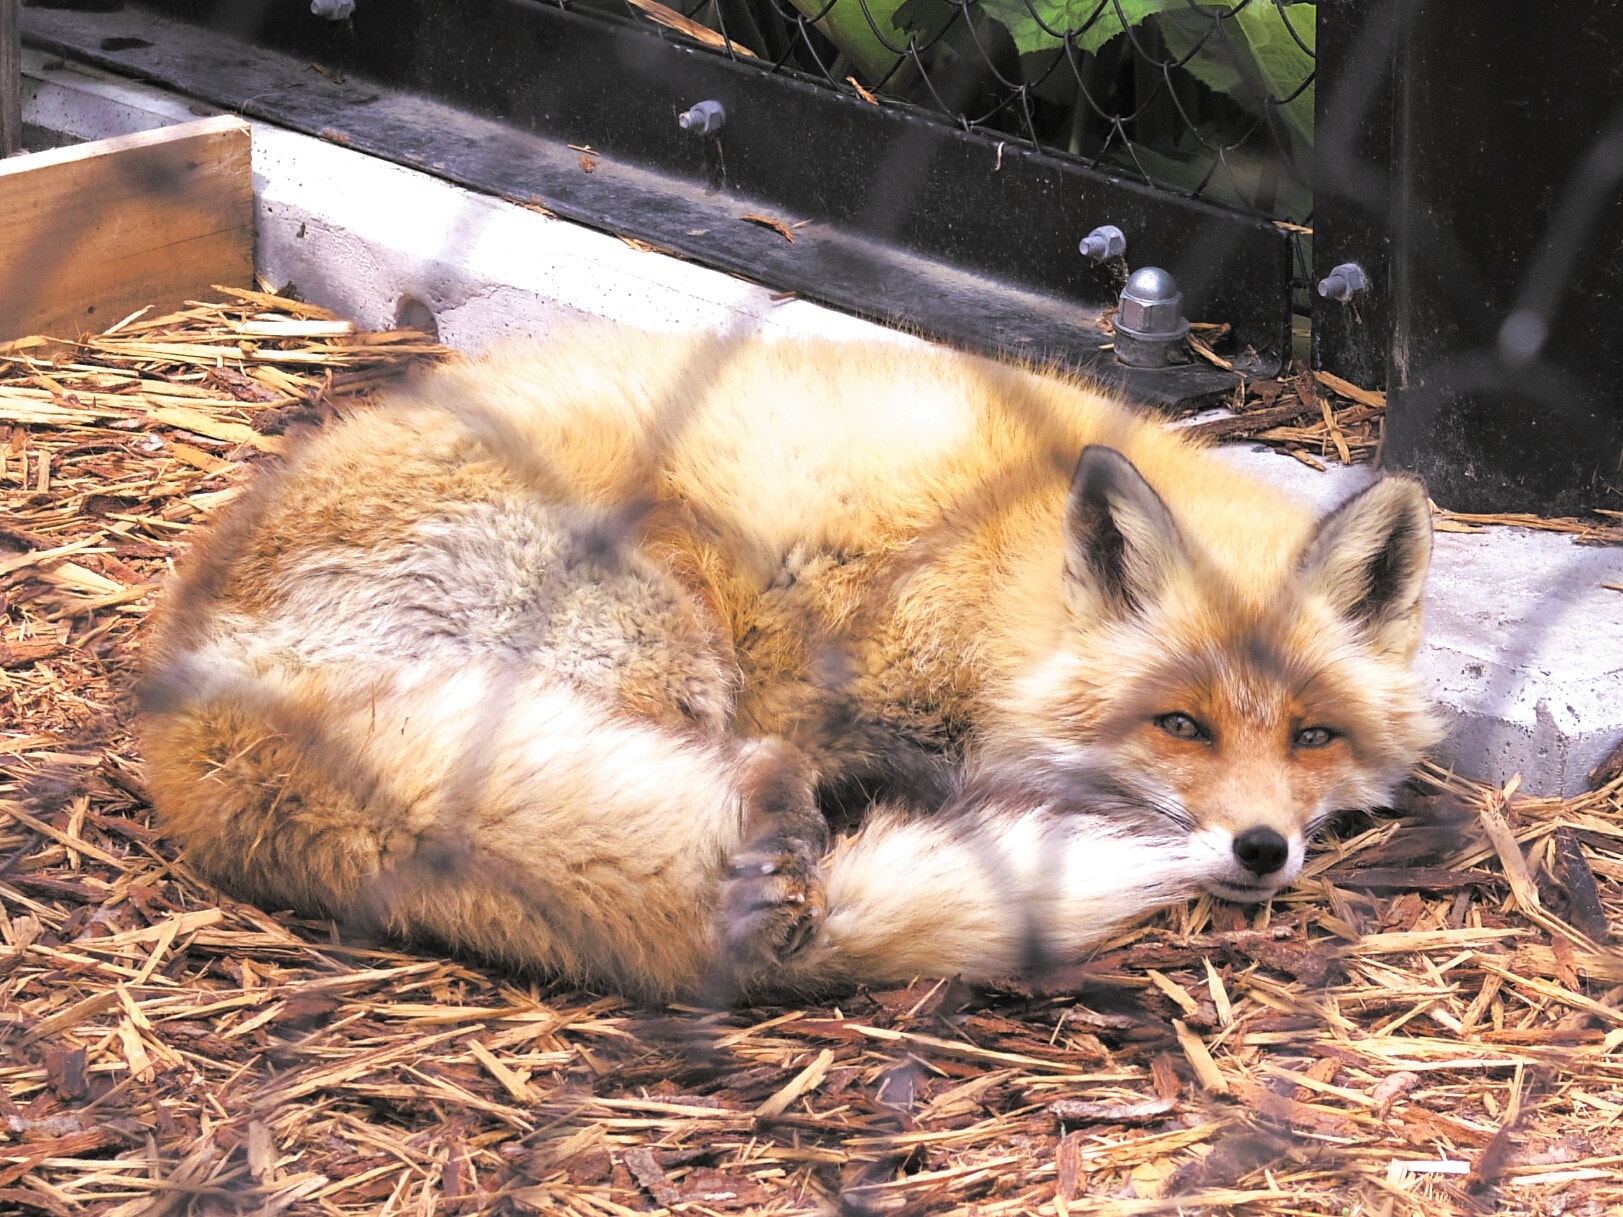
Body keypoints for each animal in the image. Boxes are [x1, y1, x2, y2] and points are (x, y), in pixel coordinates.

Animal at [139, 326, 1434, 999]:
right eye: (1182, 724)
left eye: (1314, 734)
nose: (1261, 849)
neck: (1002, 581)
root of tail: (187, 693)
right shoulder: (843, 687)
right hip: (655, 628)